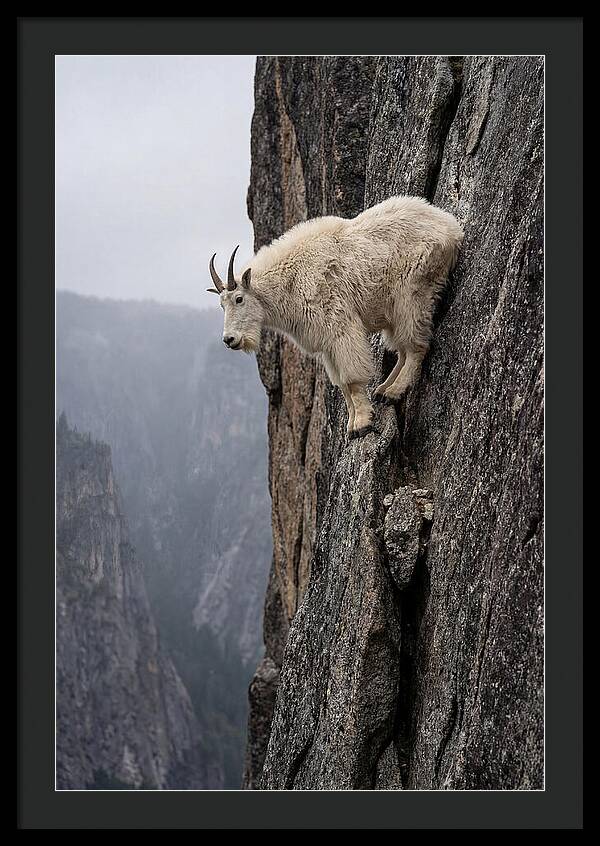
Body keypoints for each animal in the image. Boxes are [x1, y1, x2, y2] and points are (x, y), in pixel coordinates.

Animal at [207, 196, 463, 438]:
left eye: (239, 299)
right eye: (221, 305)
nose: (229, 340)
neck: (290, 280)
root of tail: (451, 227)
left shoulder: (340, 327)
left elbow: (351, 379)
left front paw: (362, 424)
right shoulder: (326, 344)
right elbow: (341, 384)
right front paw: (351, 425)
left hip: (412, 293)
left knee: (416, 346)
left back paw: (393, 392)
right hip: (393, 310)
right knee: (401, 348)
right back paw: (383, 389)